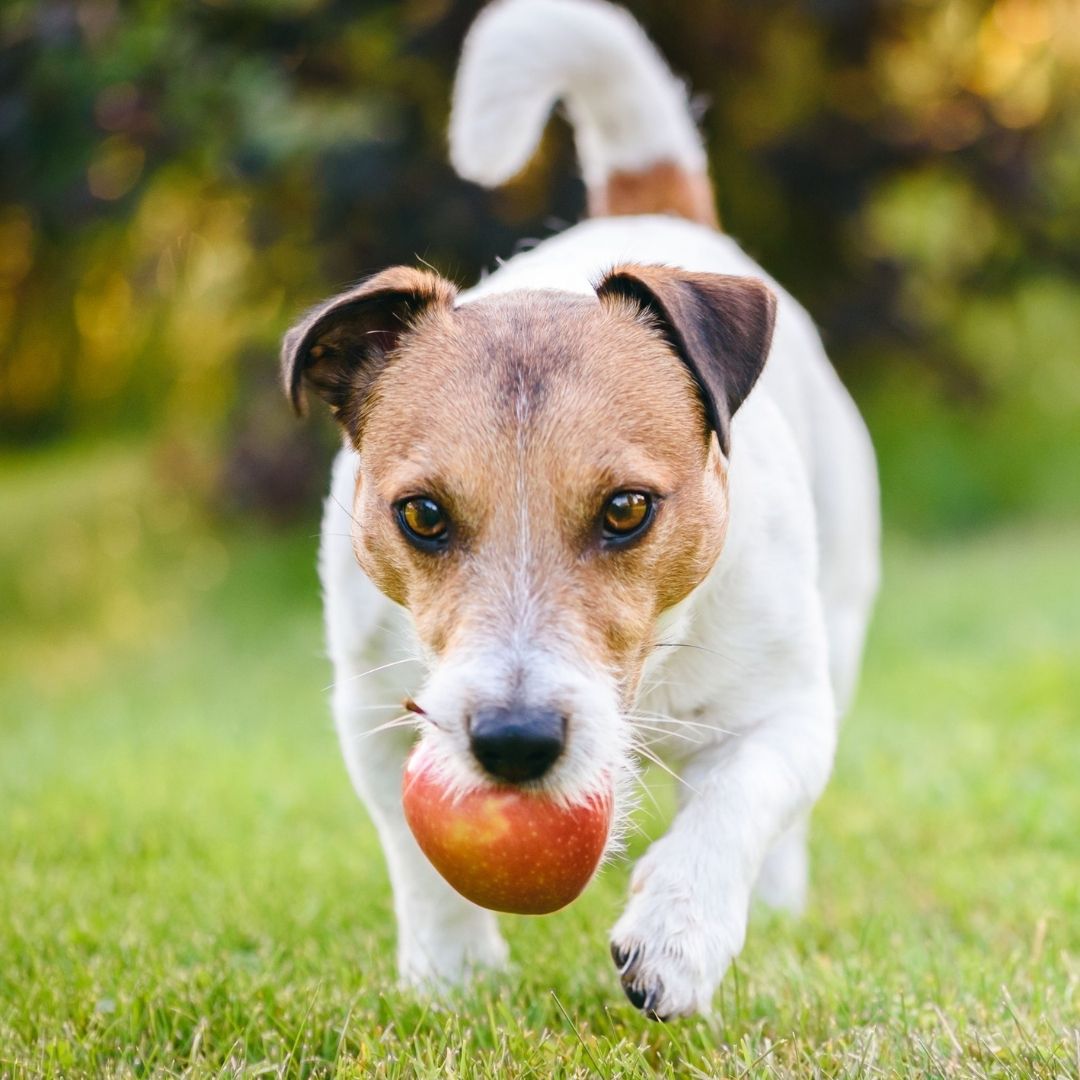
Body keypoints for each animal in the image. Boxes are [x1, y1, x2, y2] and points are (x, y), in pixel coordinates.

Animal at [282, 0, 881, 1019]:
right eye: (423, 516)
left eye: (628, 509)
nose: (515, 742)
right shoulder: (371, 711)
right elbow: (418, 859)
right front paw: (449, 978)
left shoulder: (786, 711)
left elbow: (741, 799)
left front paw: (679, 933)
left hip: (840, 616)